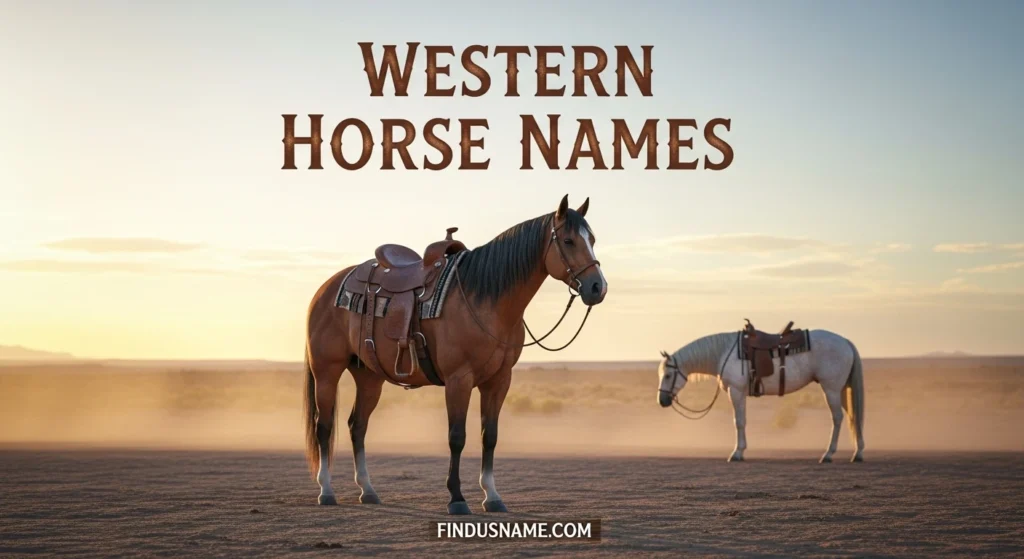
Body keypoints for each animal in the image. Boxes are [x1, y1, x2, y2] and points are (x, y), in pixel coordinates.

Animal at [303, 195, 607, 514]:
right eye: (569, 240)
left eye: (592, 239)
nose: (597, 287)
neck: (484, 300)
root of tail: (325, 290)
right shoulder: (458, 379)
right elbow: (457, 437)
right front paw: (457, 498)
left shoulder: (499, 381)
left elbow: (490, 436)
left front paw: (492, 496)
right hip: (326, 371)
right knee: (324, 426)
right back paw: (326, 490)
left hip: (369, 376)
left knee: (357, 426)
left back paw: (368, 490)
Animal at [656, 327, 865, 463]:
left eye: (668, 375)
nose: (662, 400)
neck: (723, 352)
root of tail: (845, 341)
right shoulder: (739, 393)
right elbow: (742, 420)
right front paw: (741, 451)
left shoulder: (736, 391)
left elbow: (739, 421)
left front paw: (737, 453)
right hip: (841, 389)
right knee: (853, 416)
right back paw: (858, 453)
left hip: (831, 389)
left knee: (837, 418)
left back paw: (828, 454)